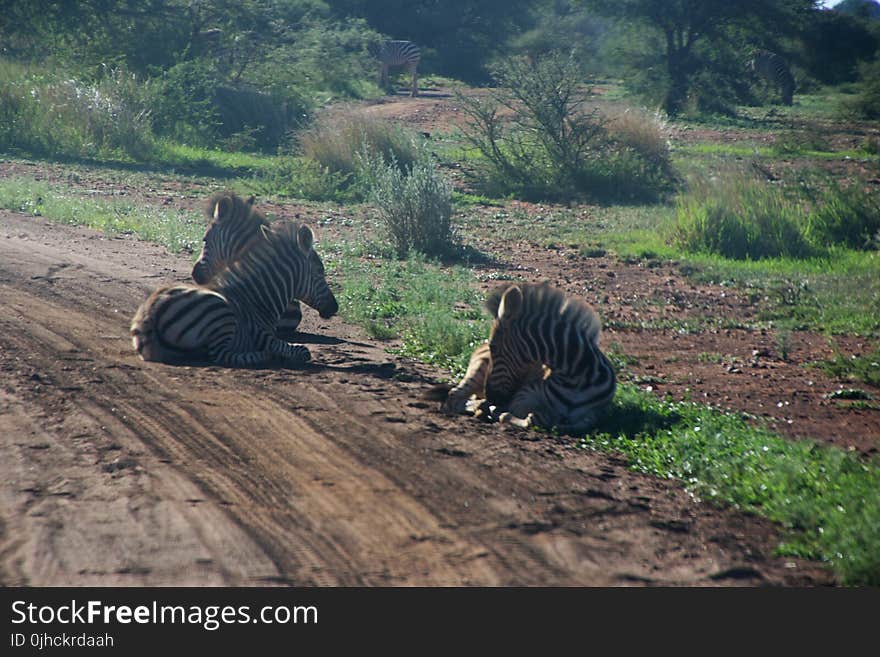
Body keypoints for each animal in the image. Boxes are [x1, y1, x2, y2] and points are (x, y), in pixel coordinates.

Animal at [130, 214, 336, 364]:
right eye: (320, 271)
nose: (335, 307)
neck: (259, 299)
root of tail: (150, 313)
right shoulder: (262, 335)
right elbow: (302, 351)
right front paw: (277, 354)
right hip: (221, 312)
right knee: (220, 355)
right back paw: (262, 356)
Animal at [430, 280, 616, 434]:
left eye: (494, 347)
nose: (491, 396)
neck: (576, 377)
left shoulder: (594, 413)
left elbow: (581, 423)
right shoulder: (522, 397)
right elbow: (530, 417)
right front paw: (498, 412)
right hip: (478, 372)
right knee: (454, 396)